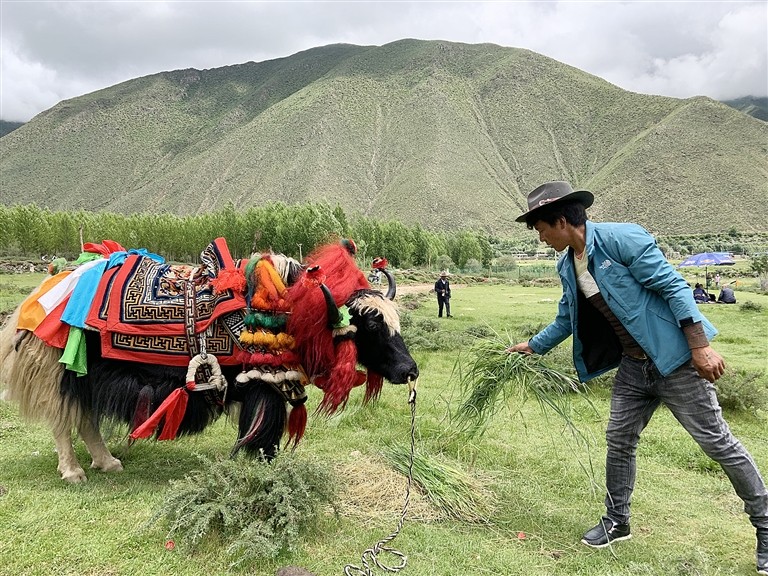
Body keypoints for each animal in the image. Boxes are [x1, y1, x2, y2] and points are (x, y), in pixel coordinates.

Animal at [0, 238, 418, 483]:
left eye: (394, 323)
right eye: (371, 326)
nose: (409, 370)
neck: (301, 310)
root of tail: (43, 290)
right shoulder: (261, 387)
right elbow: (265, 439)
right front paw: (268, 475)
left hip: (86, 373)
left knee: (86, 418)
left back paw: (108, 463)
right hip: (61, 369)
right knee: (63, 420)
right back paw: (73, 472)